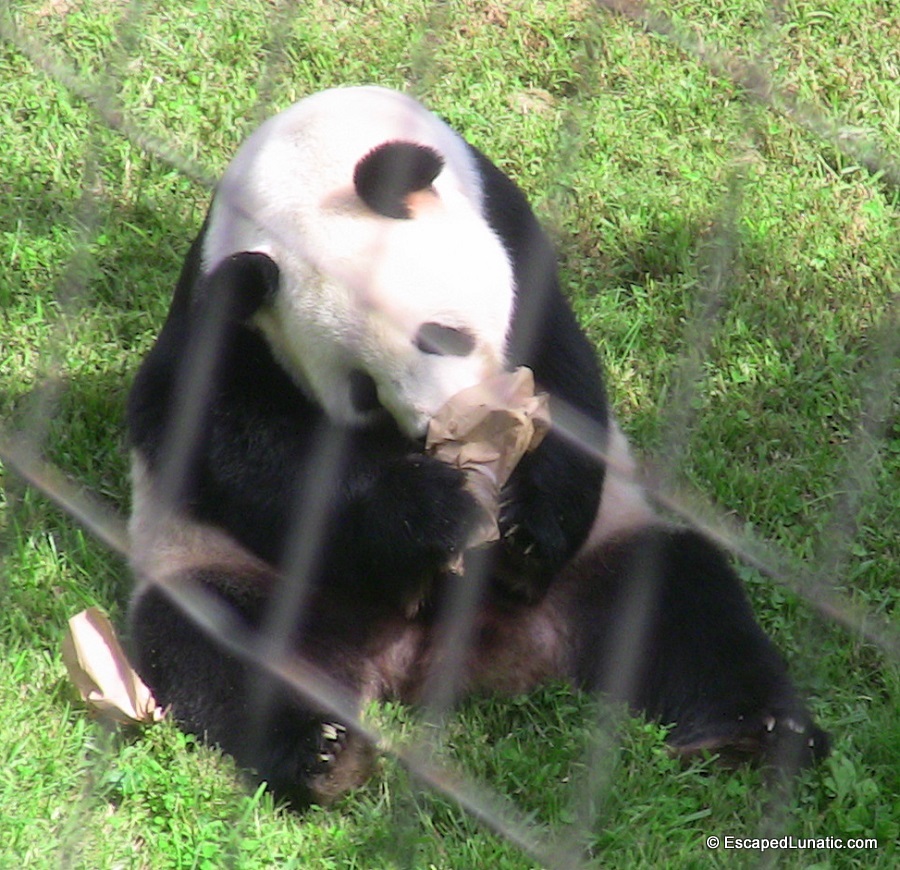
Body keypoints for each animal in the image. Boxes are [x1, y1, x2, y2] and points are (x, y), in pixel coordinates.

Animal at [126, 85, 827, 807]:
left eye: (439, 335)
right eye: (362, 393)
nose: (439, 427)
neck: (305, 162)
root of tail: (446, 661)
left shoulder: (510, 235)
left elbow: (563, 380)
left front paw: (521, 529)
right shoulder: (224, 310)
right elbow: (213, 432)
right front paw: (432, 511)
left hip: (604, 556)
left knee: (683, 604)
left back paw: (756, 735)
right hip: (244, 579)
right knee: (215, 648)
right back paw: (323, 752)